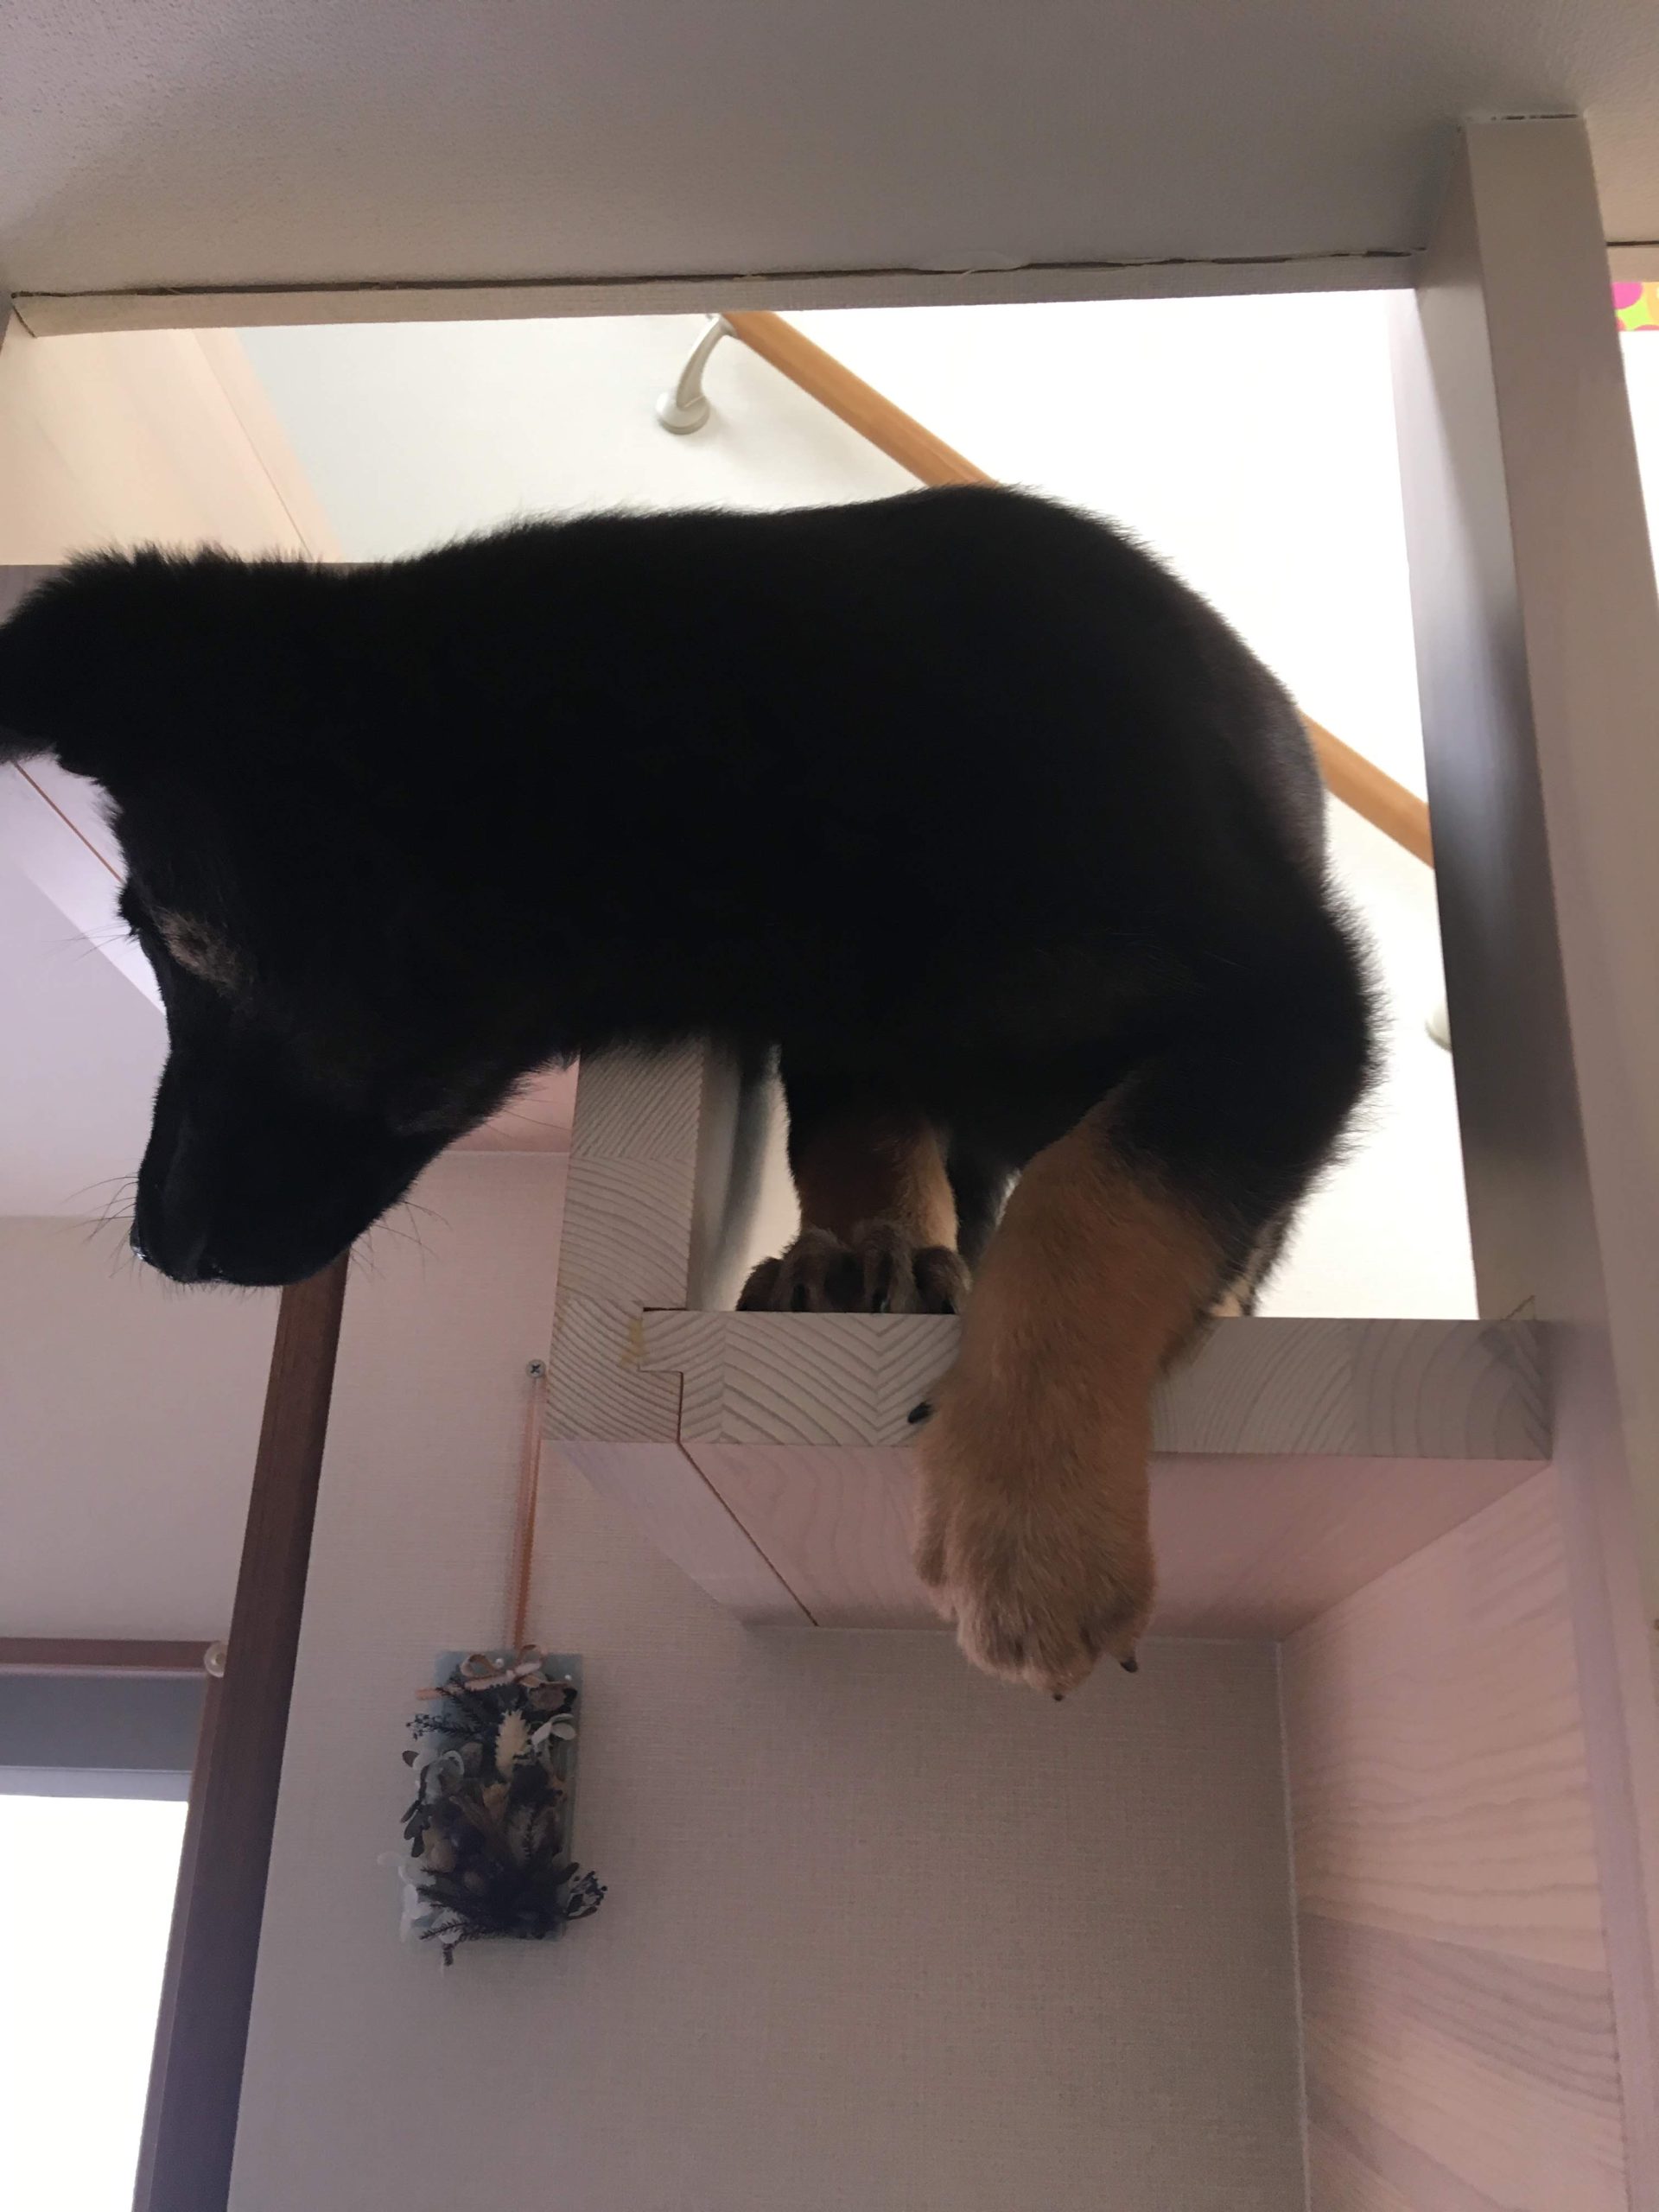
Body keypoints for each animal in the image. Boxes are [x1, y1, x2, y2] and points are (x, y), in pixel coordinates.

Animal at [0, 487, 1372, 1693]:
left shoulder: (1295, 1008)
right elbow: (863, 1132)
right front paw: (860, 1248)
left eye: (180, 944)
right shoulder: (840, 1026)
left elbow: (1096, 1197)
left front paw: (1033, 1514)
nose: (157, 1245)